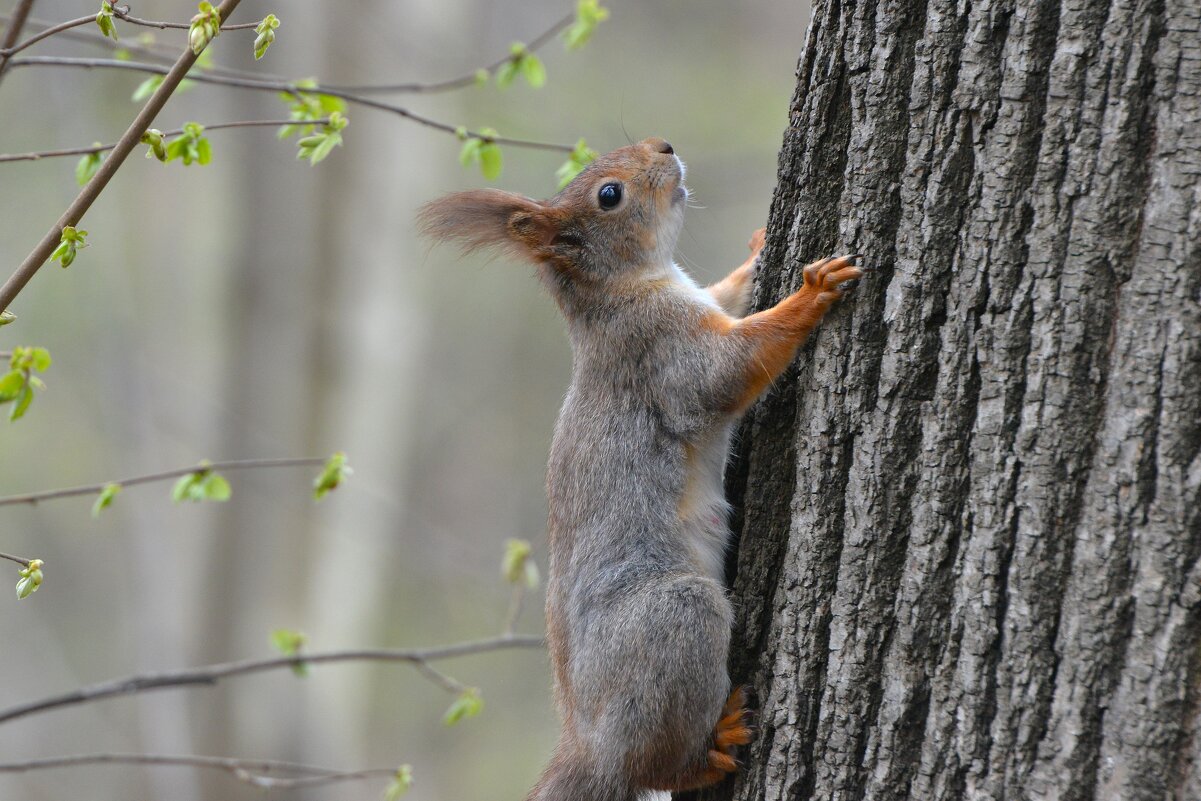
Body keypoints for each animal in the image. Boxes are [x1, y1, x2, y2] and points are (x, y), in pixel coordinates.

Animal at [420, 137, 862, 801]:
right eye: (610, 195)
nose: (664, 145)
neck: (624, 289)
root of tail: (592, 751)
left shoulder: (698, 303)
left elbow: (727, 293)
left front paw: (758, 247)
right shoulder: (660, 350)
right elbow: (731, 367)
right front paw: (811, 294)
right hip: (675, 622)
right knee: (653, 763)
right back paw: (711, 747)